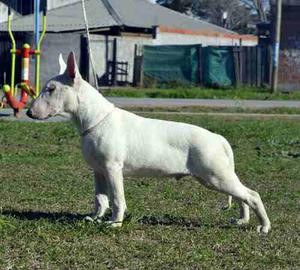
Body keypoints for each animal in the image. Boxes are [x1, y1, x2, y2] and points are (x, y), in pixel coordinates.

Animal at [27, 51, 270, 233]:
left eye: (51, 89)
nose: (29, 113)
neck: (95, 119)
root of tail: (218, 138)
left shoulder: (113, 169)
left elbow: (117, 198)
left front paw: (115, 223)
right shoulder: (98, 171)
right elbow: (100, 198)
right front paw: (95, 218)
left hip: (215, 175)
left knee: (252, 195)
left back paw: (264, 227)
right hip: (216, 176)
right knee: (241, 196)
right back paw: (242, 220)